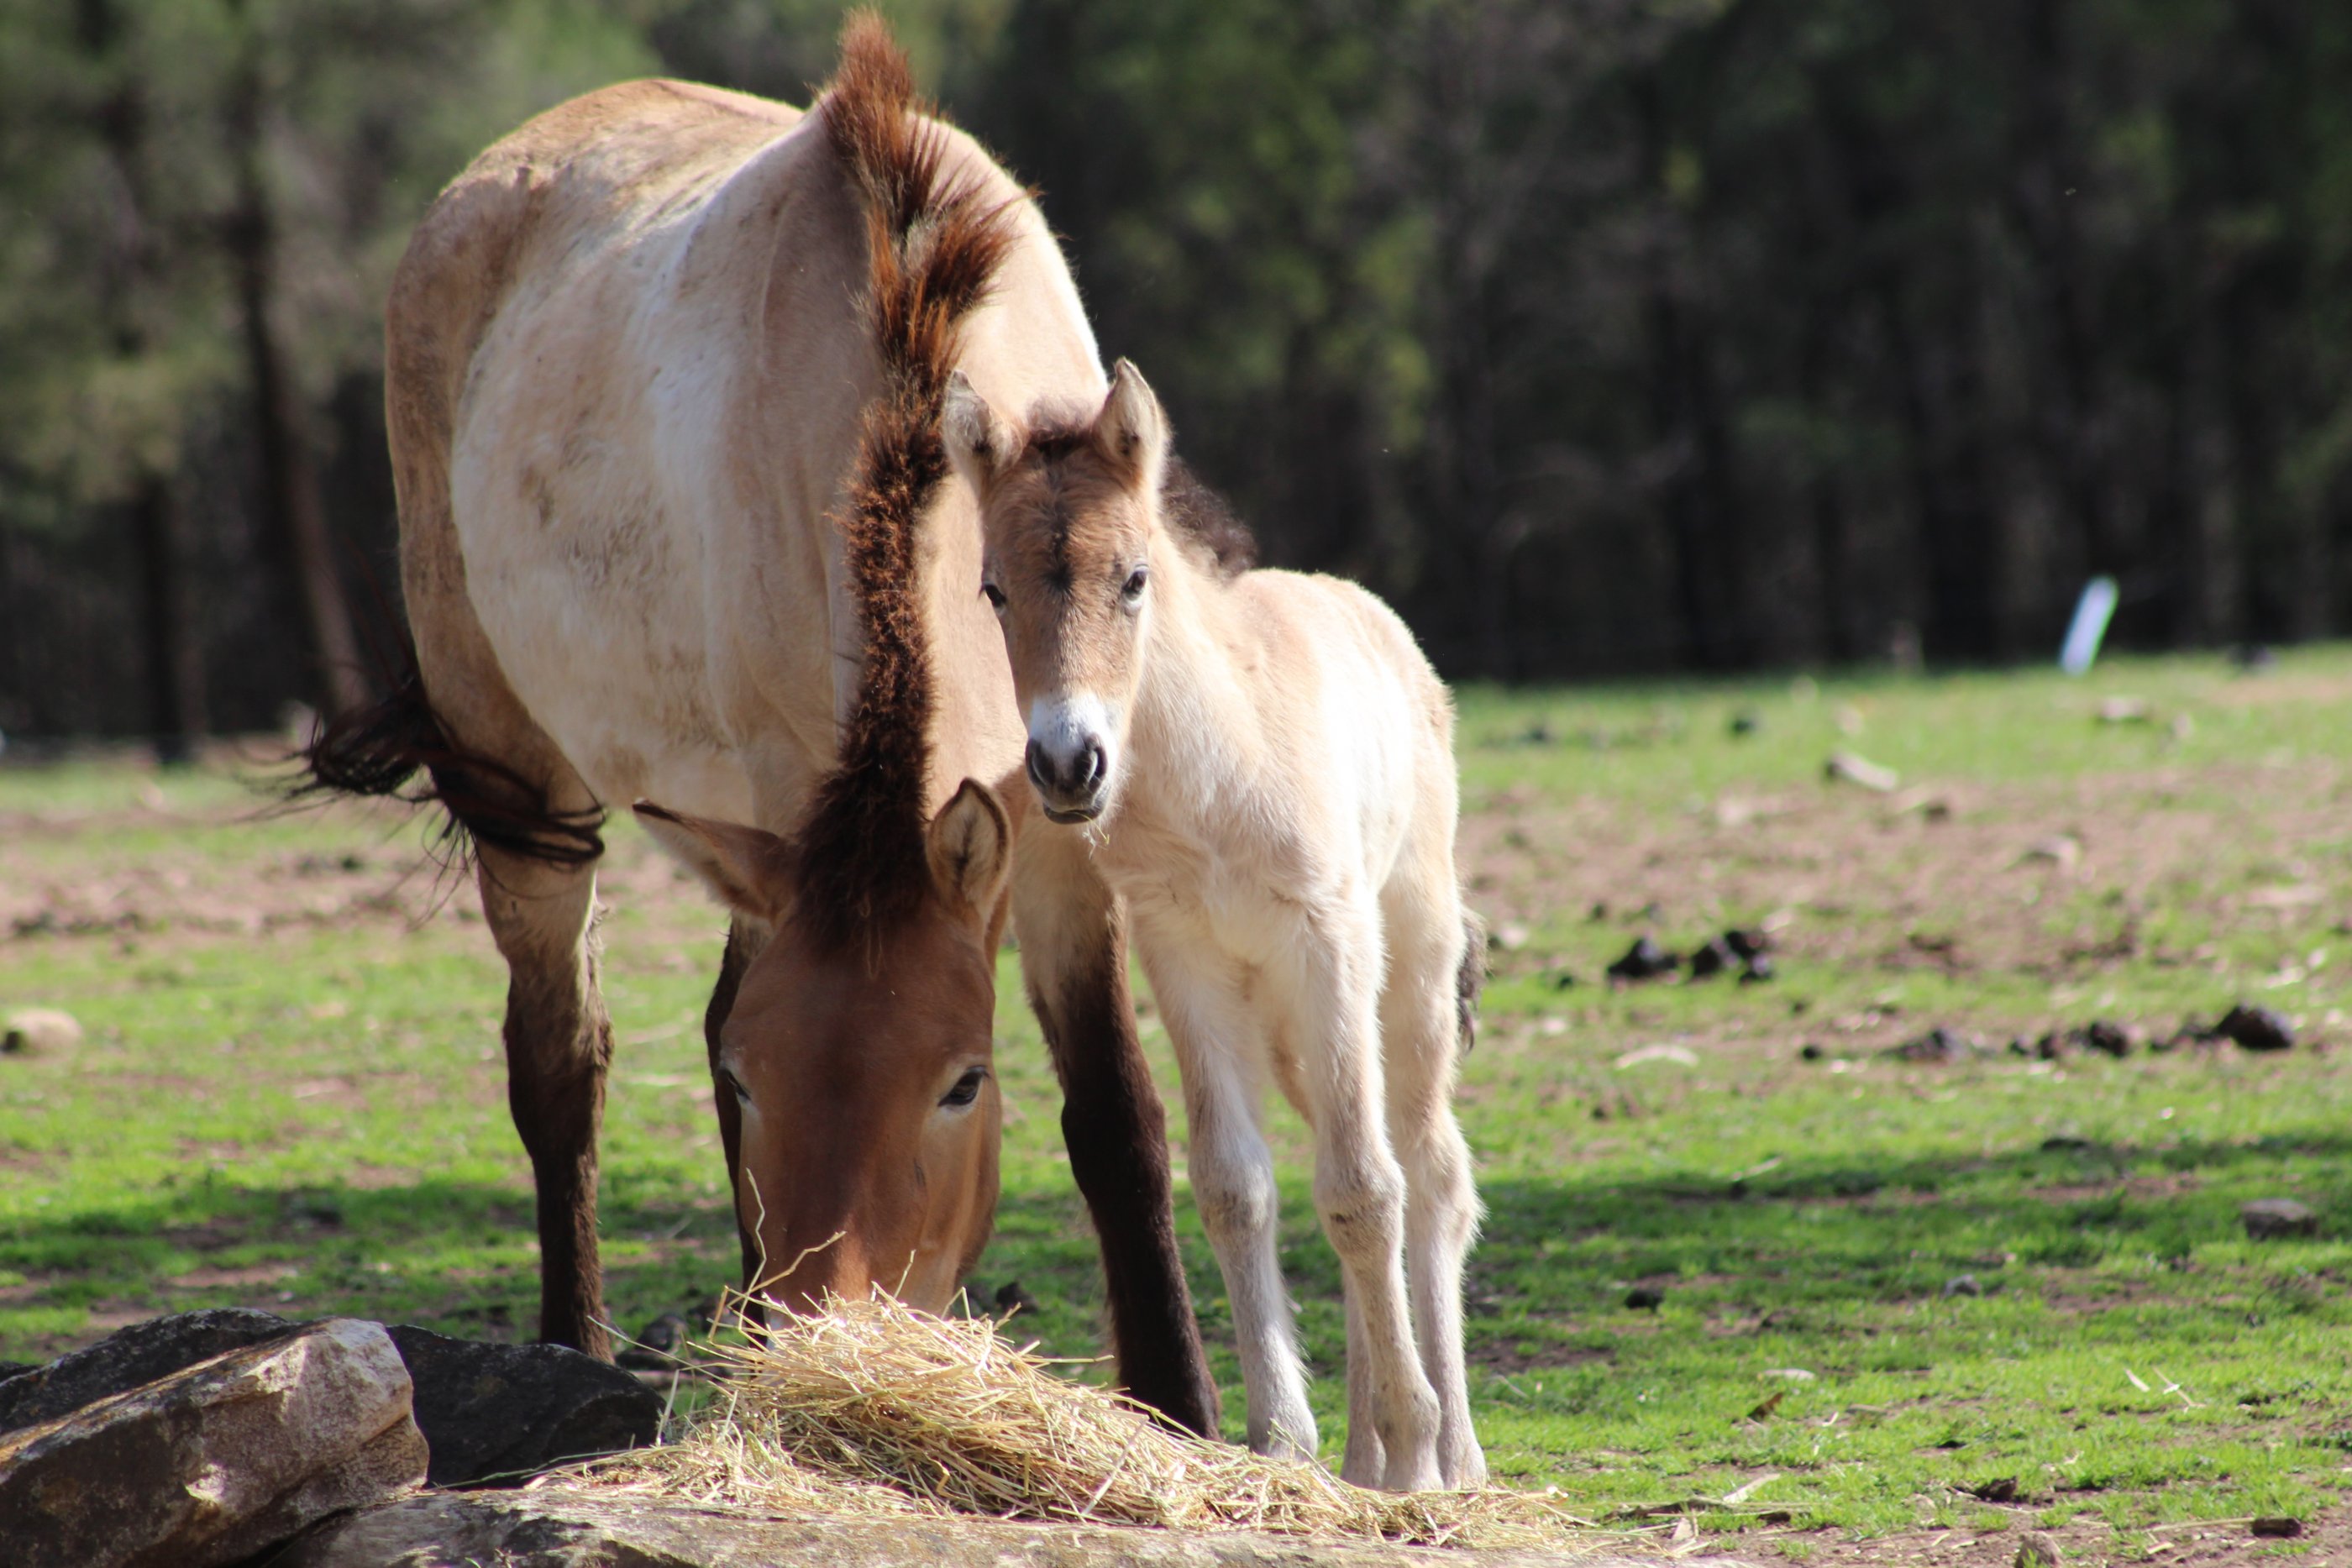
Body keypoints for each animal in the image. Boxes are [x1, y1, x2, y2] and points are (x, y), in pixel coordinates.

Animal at [299, 18, 1217, 1435]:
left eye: (962, 1078)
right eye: (754, 1080)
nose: (828, 1323)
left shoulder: (1053, 833)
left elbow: (1116, 1114)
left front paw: (1183, 1408)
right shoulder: (801, 799)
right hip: (525, 781)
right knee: (558, 1068)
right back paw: (575, 1344)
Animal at [942, 361, 1488, 1490]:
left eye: (1135, 579)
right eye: (993, 589)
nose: (1067, 765)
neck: (1219, 771)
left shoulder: (1326, 941)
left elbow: (1365, 1190)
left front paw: (1415, 1450)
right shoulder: (1184, 955)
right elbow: (1241, 1186)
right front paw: (1285, 1442)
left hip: (1404, 971)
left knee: (1428, 1171)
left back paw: (1451, 1454)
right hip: (1286, 1020)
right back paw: (1364, 1455)